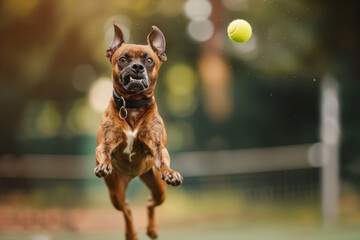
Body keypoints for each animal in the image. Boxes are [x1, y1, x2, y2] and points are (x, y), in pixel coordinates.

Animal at [94, 23, 183, 240]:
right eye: (123, 58)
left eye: (149, 60)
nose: (137, 66)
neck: (132, 105)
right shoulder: (104, 145)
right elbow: (104, 153)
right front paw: (104, 165)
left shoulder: (158, 148)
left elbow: (163, 158)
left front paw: (171, 172)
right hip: (115, 191)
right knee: (126, 208)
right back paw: (132, 233)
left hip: (158, 188)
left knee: (150, 202)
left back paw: (152, 229)